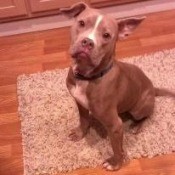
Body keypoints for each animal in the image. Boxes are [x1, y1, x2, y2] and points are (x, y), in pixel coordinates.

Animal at [59, 1, 175, 171]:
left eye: (106, 35)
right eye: (81, 23)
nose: (88, 42)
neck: (87, 77)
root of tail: (152, 88)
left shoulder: (115, 125)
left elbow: (116, 147)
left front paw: (115, 163)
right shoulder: (79, 103)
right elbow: (84, 119)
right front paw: (80, 133)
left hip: (138, 109)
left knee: (147, 115)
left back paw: (136, 126)